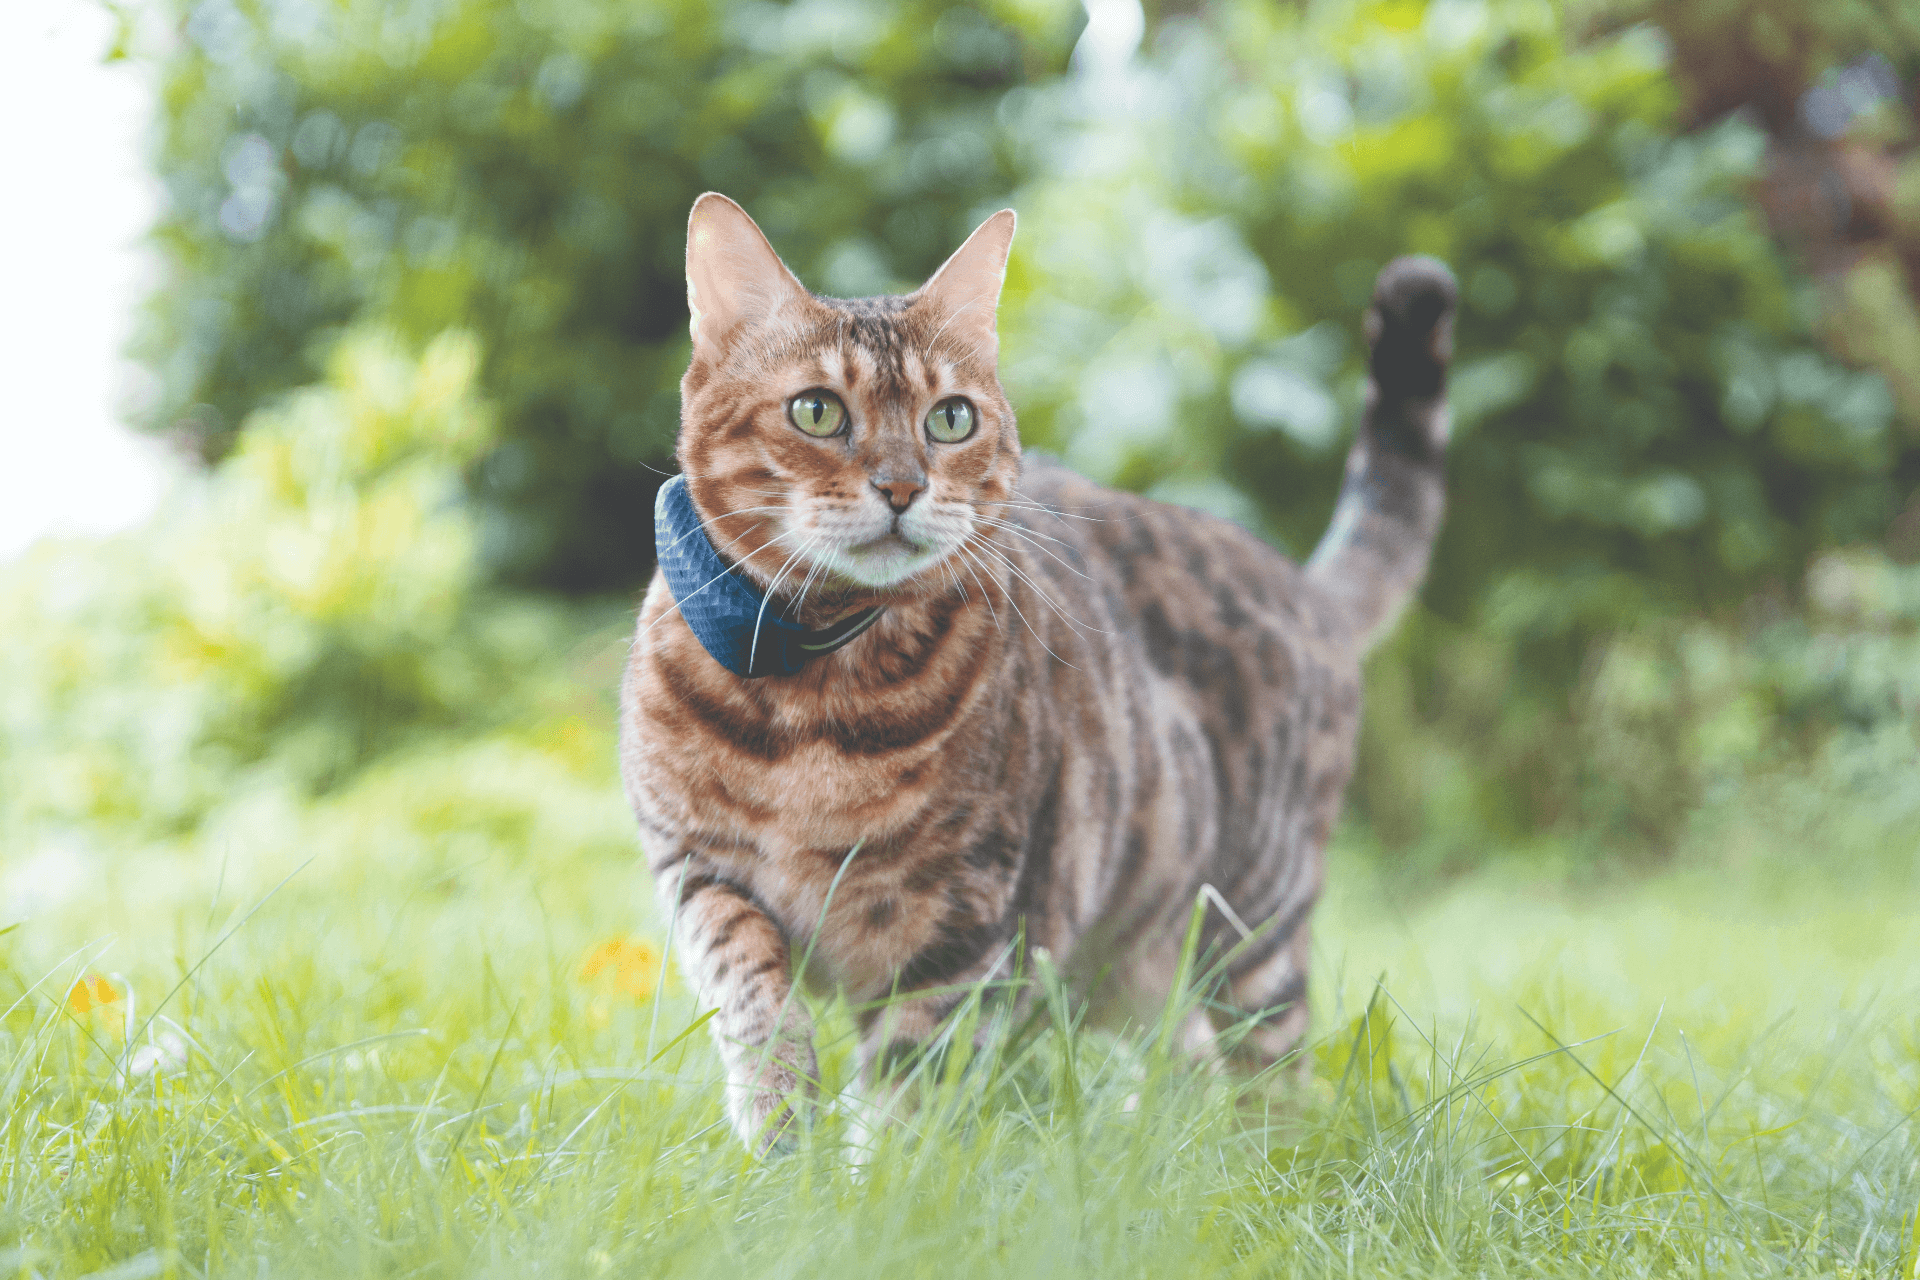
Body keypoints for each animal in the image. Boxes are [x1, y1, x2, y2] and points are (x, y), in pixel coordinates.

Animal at [618, 192, 1451, 1159]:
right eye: (817, 411)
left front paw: (873, 1186)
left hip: (1252, 929)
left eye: (950, 419)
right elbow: (753, 994)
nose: (901, 488)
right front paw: (778, 1126)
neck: (811, 692)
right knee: (1189, 1059)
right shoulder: (700, 869)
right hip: (1131, 961)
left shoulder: (965, 919)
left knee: (1267, 1074)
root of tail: (1304, 586)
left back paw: (1257, 1164)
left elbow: (908, 1081)